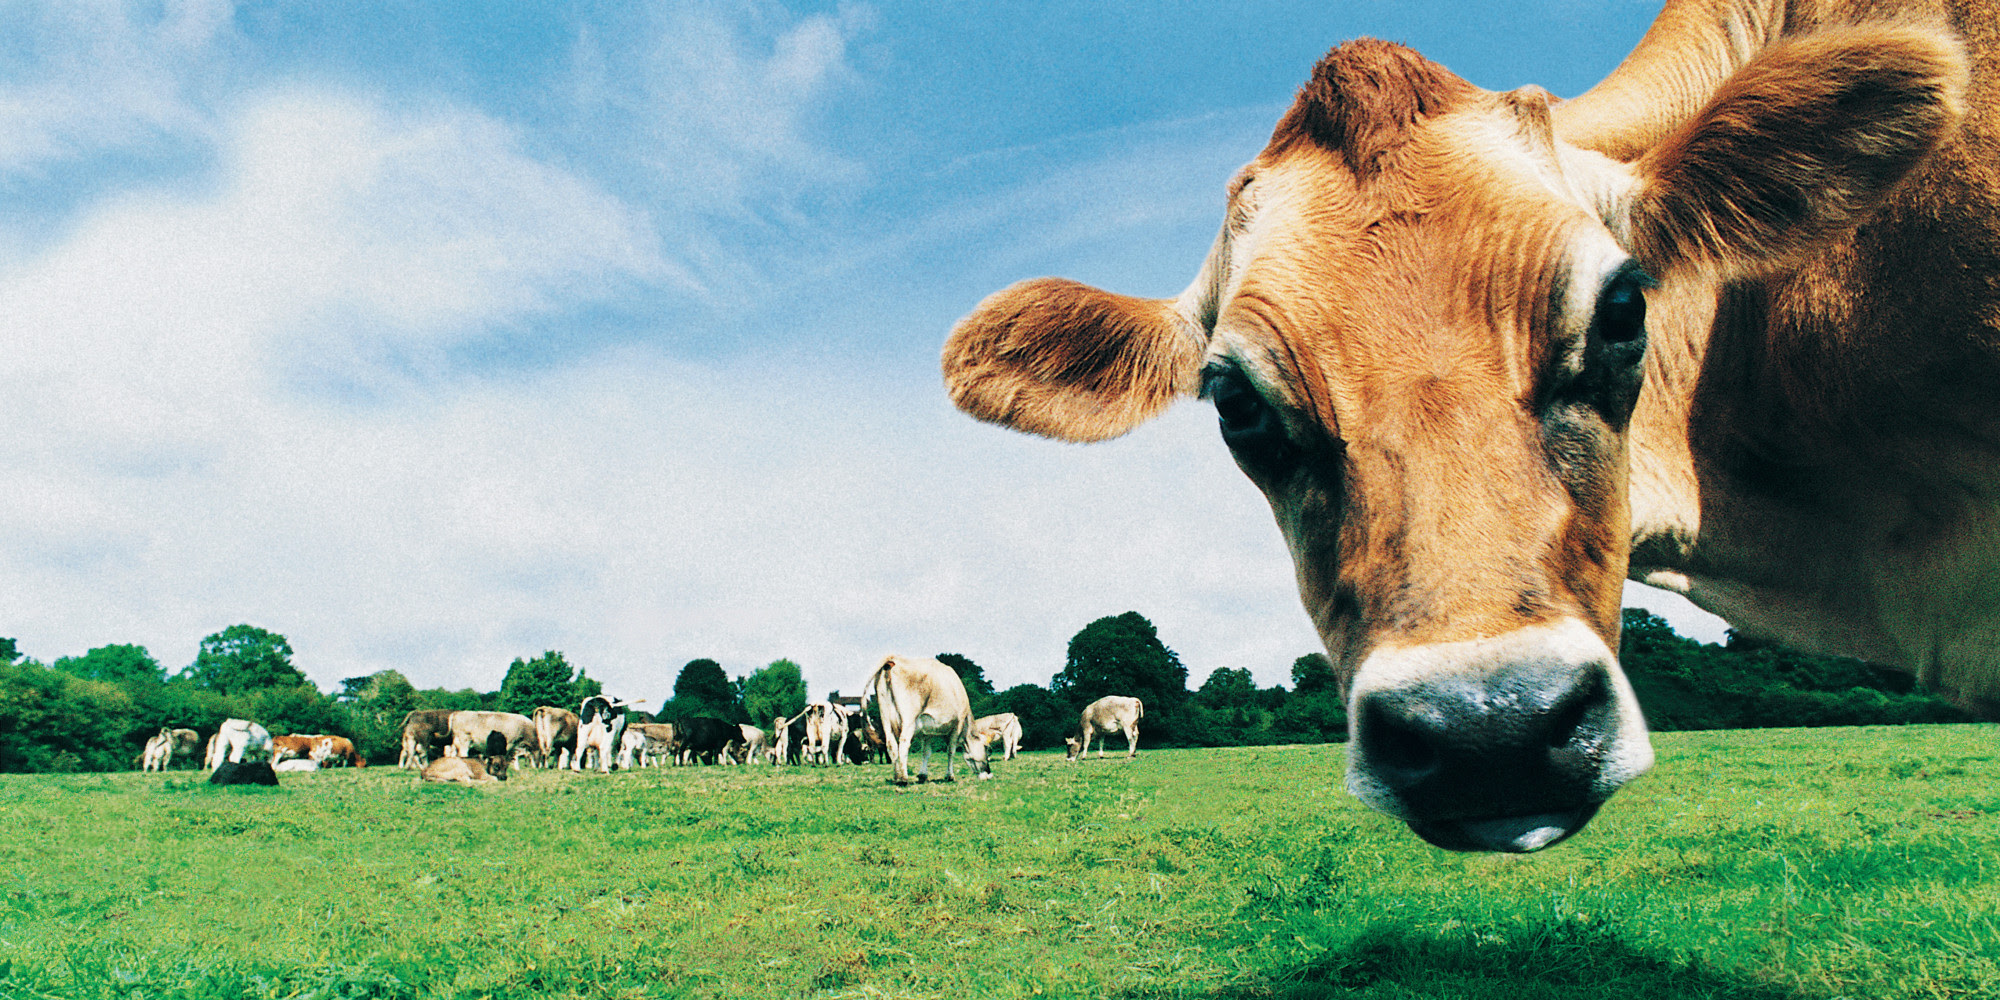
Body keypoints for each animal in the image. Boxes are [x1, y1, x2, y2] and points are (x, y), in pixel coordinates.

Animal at [872, 654, 991, 784]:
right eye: (987, 749)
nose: (989, 774)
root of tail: (894, 658)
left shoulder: (927, 731)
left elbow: (926, 752)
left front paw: (922, 775)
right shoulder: (956, 726)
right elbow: (951, 751)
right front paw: (950, 776)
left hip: (885, 717)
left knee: (891, 745)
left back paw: (896, 776)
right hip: (909, 719)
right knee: (903, 745)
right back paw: (903, 778)